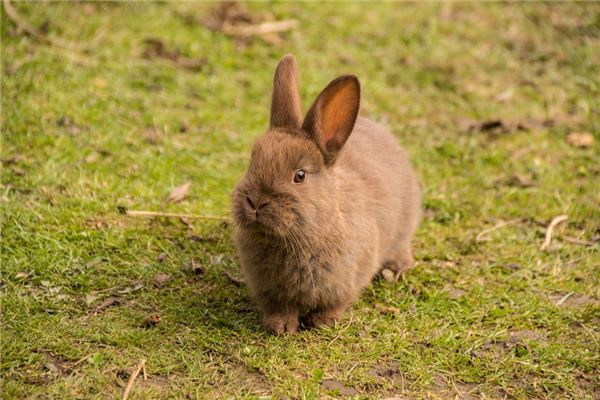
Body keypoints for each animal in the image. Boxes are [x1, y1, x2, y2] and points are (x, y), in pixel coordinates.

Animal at [231, 54, 422, 334]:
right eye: (252, 162)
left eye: (300, 175)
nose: (255, 202)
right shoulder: (269, 291)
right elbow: (279, 308)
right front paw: (280, 327)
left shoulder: (347, 279)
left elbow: (335, 304)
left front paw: (322, 323)